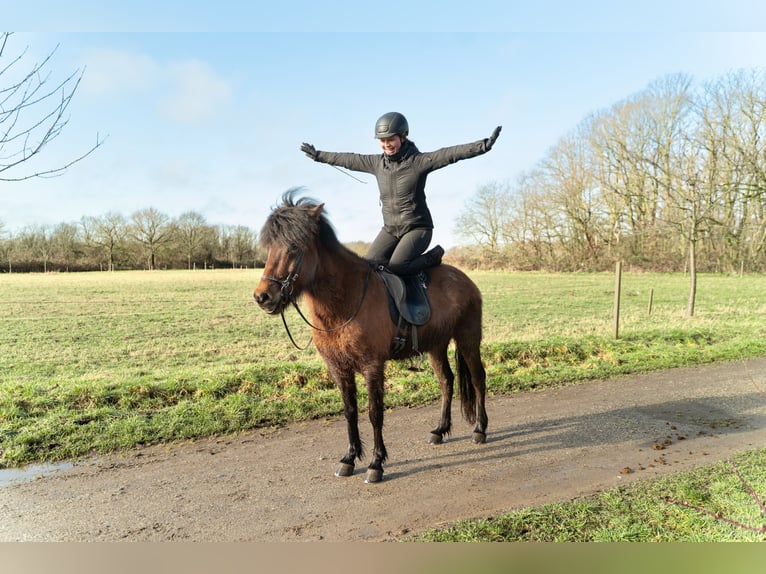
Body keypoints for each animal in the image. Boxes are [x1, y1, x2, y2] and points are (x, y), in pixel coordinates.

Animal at [253, 190, 488, 483]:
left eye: (295, 247)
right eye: (270, 247)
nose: (262, 296)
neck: (344, 303)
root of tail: (465, 279)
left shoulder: (372, 366)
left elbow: (375, 412)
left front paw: (376, 463)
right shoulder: (339, 368)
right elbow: (350, 411)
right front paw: (349, 458)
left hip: (468, 339)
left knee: (478, 379)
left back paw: (479, 430)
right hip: (435, 346)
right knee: (447, 381)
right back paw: (439, 430)